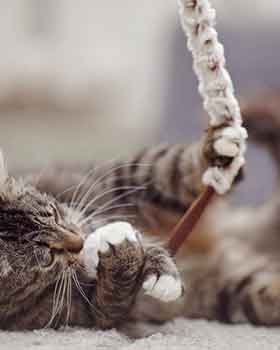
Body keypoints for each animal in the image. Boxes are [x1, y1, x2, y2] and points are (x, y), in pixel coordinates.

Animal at [0, 99, 280, 334]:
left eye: (55, 214)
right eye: (48, 257)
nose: (78, 242)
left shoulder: (101, 191)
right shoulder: (89, 314)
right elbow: (115, 296)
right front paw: (123, 254)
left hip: (128, 175)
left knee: (172, 169)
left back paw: (222, 147)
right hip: (238, 290)